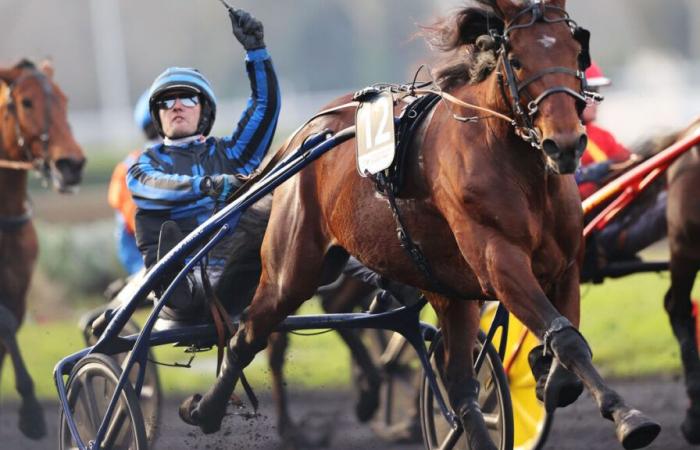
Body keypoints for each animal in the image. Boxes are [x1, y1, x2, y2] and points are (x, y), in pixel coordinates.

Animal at [182, 1, 660, 448]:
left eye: (575, 51)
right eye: (518, 59)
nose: (564, 143)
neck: (516, 164)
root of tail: (307, 133)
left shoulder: (565, 264)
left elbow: (566, 335)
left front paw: (550, 377)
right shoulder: (500, 261)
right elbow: (565, 338)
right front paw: (628, 417)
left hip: (447, 290)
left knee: (461, 388)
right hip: (293, 266)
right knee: (249, 334)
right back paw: (205, 410)